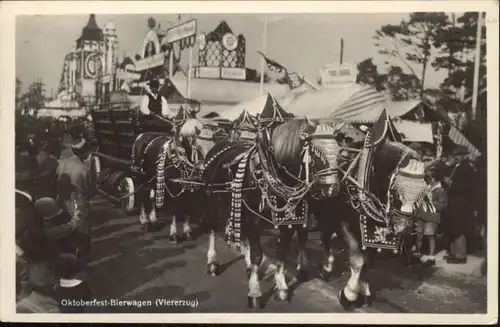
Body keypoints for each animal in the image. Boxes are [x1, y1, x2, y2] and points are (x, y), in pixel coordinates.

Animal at [201, 118, 346, 310]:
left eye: (339, 153)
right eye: (317, 154)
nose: (331, 189)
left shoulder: (287, 221)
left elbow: (282, 253)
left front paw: (282, 287)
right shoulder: (254, 219)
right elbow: (257, 255)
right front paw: (255, 292)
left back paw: (248, 267)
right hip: (212, 199)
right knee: (212, 228)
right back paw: (212, 262)